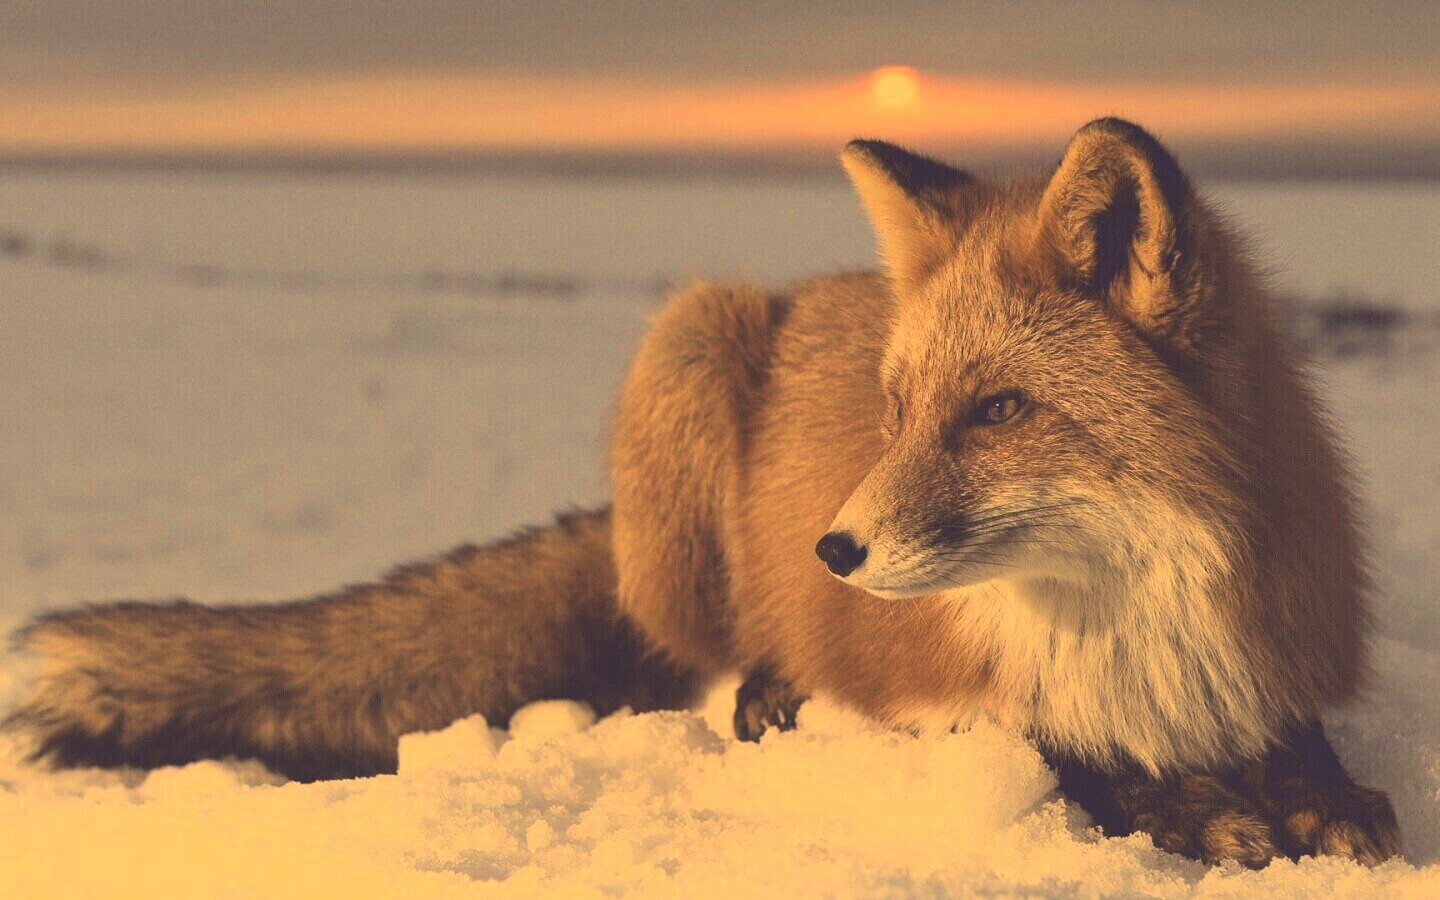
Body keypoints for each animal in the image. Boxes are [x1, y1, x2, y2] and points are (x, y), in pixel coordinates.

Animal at [3, 119, 1400, 867]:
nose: (834, 550)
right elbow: (1068, 759)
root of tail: (811, 287)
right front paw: (1198, 812)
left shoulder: (1271, 655)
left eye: (999, 410)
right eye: (896, 411)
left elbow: (1307, 752)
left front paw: (1316, 801)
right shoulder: (935, 689)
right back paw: (765, 691)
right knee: (704, 655)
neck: (1130, 624)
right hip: (688, 343)